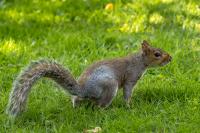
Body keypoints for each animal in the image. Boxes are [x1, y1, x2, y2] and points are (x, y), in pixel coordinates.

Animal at [6, 40, 172, 116]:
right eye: (157, 54)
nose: (170, 58)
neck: (140, 61)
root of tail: (83, 89)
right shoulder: (130, 78)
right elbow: (127, 93)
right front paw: (129, 106)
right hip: (110, 86)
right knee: (99, 106)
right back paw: (108, 111)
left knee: (77, 99)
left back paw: (76, 106)